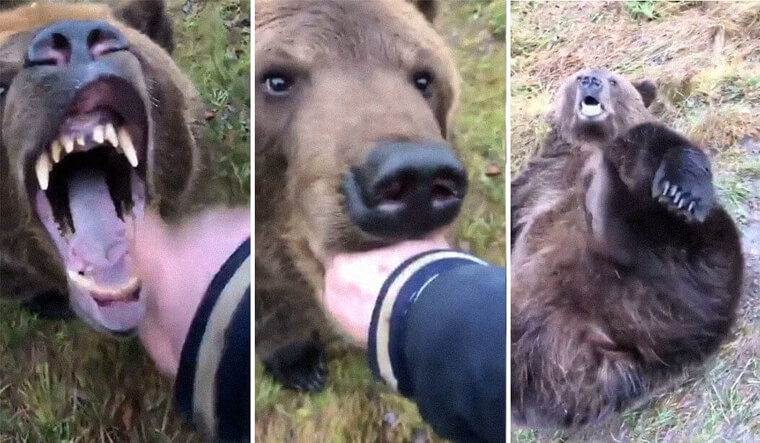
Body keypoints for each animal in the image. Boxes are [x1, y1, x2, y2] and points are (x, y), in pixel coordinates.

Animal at [510, 69, 744, 430]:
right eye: (577, 75)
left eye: (612, 80)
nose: (590, 79)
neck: (587, 144)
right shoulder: (537, 179)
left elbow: (660, 140)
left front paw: (682, 192)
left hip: (690, 268)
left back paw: (609, 195)